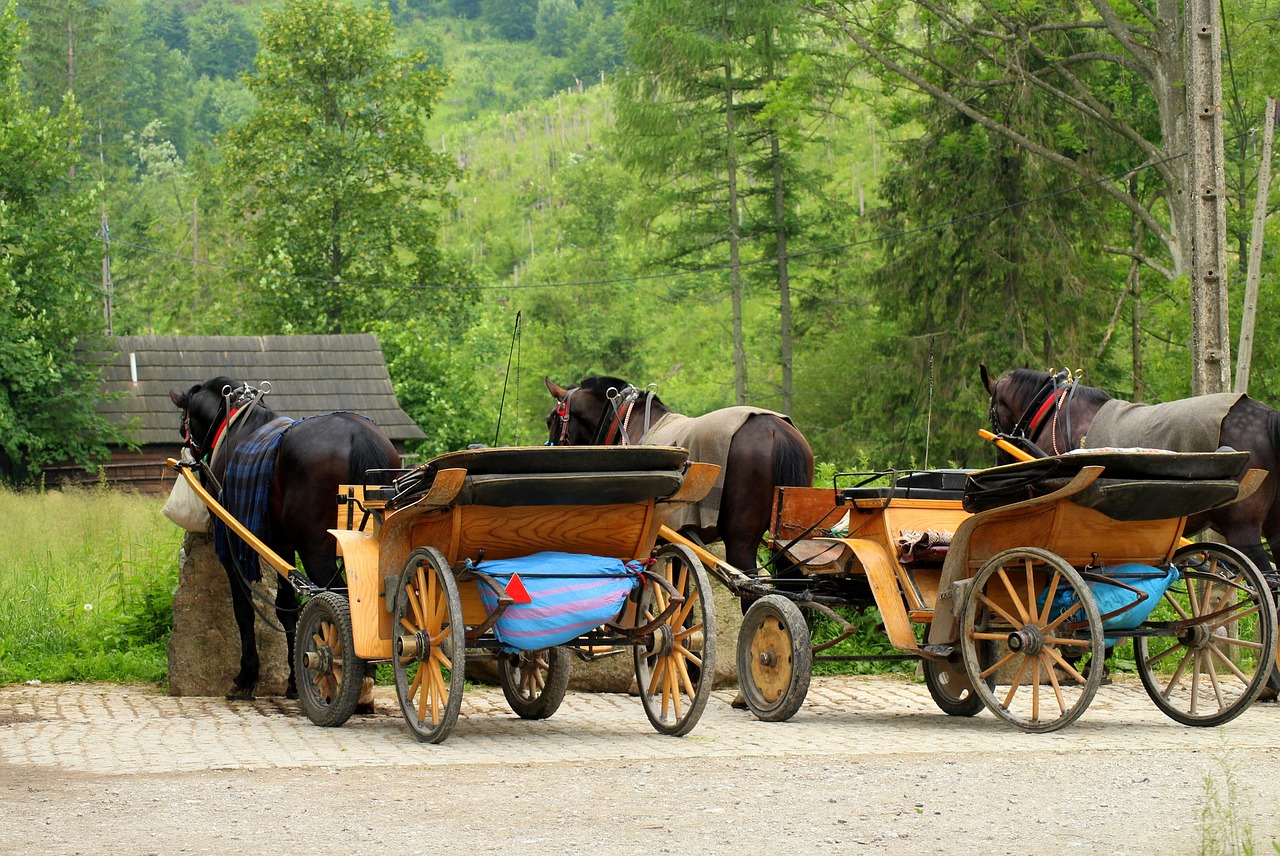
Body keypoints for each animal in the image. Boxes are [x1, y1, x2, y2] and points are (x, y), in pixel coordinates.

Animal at [171, 376, 399, 696]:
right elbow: (288, 608)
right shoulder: (281, 545)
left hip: (316, 552)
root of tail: (358, 434)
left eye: (184, 423)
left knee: (342, 602)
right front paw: (292, 679)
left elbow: (244, 609)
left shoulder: (234, 544)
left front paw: (247, 674)